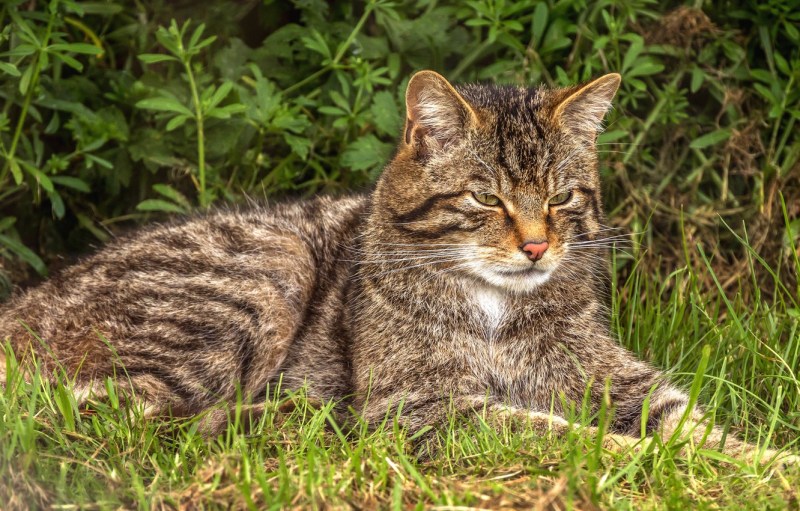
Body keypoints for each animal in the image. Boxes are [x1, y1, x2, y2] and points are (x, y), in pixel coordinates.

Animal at [0, 72, 796, 468]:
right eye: (486, 198)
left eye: (562, 197)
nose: (538, 247)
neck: (499, 308)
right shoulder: (423, 406)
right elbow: (565, 433)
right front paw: (637, 457)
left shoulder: (622, 380)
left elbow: (697, 430)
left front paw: (766, 465)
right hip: (261, 271)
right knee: (110, 411)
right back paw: (291, 420)